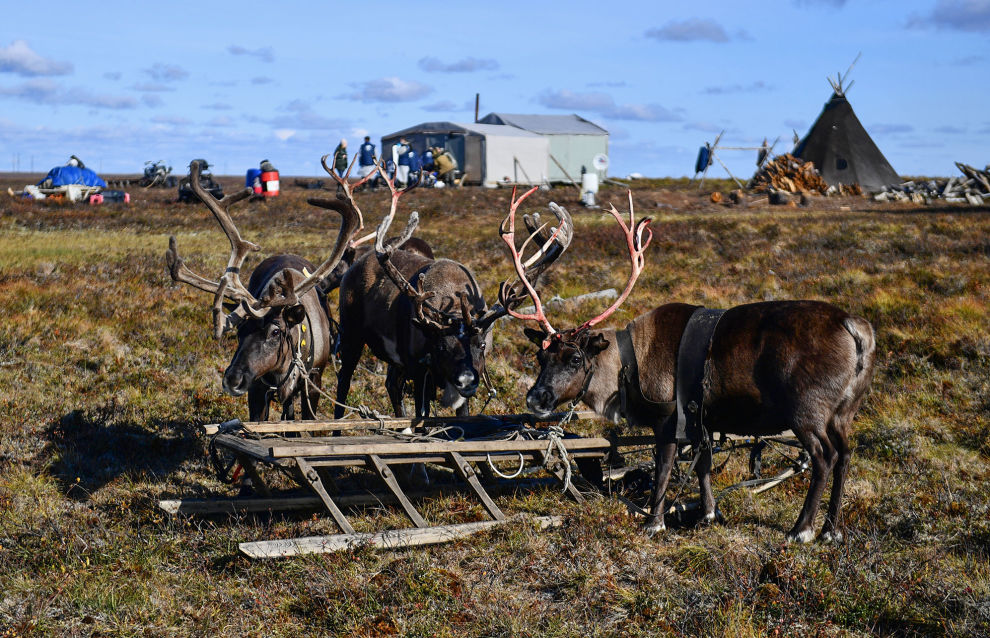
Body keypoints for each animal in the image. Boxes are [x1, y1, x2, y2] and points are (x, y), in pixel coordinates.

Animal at [334, 172, 573, 421]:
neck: (456, 306)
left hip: (393, 361)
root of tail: (355, 266)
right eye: (441, 347)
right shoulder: (419, 371)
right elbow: (422, 415)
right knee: (344, 382)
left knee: (392, 384)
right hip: (351, 333)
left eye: (482, 345)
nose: (466, 381)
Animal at [508, 191, 876, 544]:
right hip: (844, 412)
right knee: (846, 455)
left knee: (824, 457)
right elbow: (704, 466)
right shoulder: (703, 421)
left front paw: (654, 522)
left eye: (574, 359)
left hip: (806, 412)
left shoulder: (670, 419)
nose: (536, 398)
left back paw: (802, 529)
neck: (628, 365)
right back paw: (831, 530)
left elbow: (664, 470)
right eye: (540, 357)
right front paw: (709, 513)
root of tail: (856, 328)